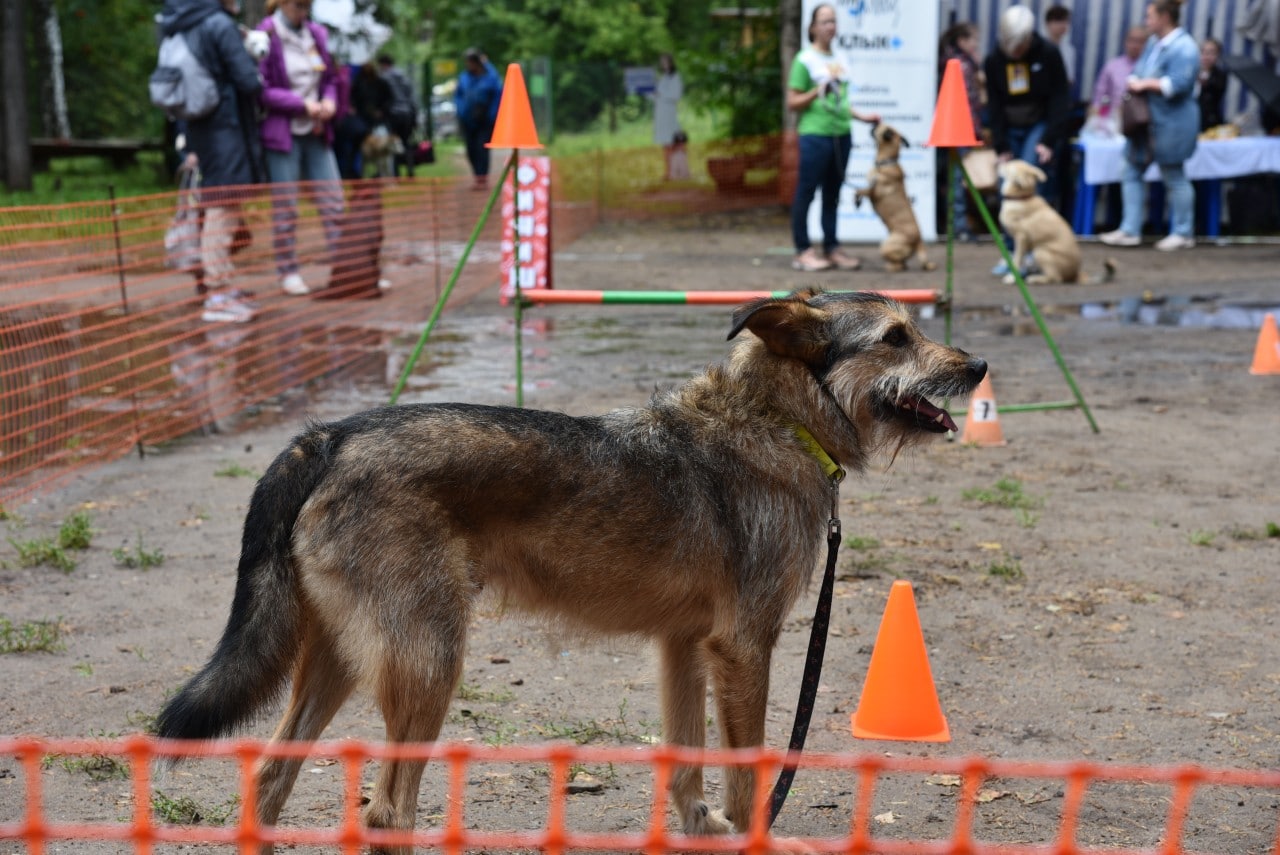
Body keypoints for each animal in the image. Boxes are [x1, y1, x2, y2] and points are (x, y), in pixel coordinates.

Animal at [154, 286, 983, 849]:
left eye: (916, 327)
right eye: (896, 337)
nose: (978, 366)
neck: (771, 418)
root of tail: (330, 435)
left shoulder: (685, 647)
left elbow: (687, 764)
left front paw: (699, 828)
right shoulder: (746, 649)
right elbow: (749, 776)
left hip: (339, 664)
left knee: (270, 775)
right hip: (428, 664)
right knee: (388, 809)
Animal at [855, 121, 936, 270]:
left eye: (878, 127)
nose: (873, 124)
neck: (885, 162)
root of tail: (918, 241)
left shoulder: (873, 192)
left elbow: (859, 190)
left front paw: (857, 199)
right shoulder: (870, 191)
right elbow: (858, 192)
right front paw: (857, 202)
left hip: (885, 246)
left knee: (899, 265)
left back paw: (889, 267)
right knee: (903, 263)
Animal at [993, 156, 1105, 284]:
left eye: (1009, 166)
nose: (999, 162)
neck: (1020, 198)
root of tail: (1076, 274)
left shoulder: (1021, 238)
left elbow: (1017, 260)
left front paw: (1012, 277)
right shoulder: (1024, 243)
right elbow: (1021, 260)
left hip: (1040, 251)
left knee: (1055, 278)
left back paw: (1036, 278)